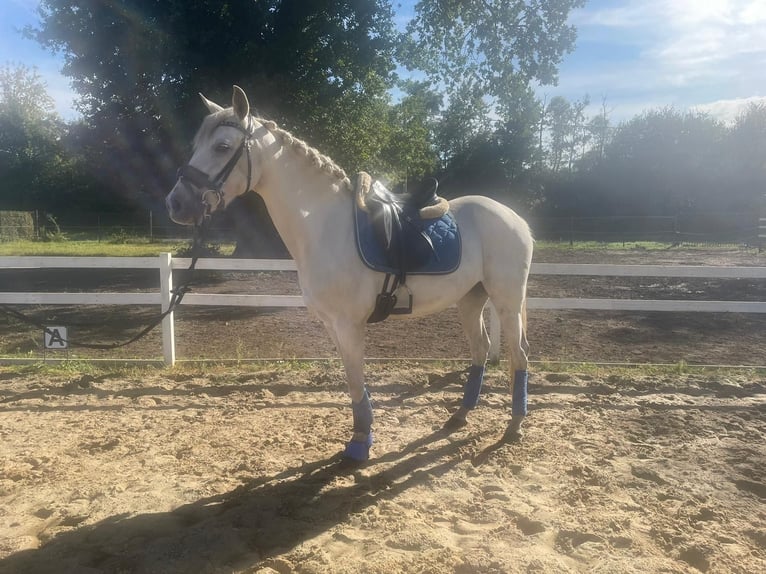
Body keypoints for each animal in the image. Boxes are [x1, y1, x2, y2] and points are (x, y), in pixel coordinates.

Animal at [166, 85, 533, 461]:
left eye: (223, 146)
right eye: (197, 144)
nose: (176, 203)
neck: (325, 226)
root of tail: (515, 218)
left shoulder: (349, 324)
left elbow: (357, 380)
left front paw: (359, 446)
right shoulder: (333, 325)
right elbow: (352, 380)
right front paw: (360, 436)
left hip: (506, 300)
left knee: (519, 355)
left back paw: (514, 426)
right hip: (471, 298)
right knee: (480, 349)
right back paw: (460, 416)